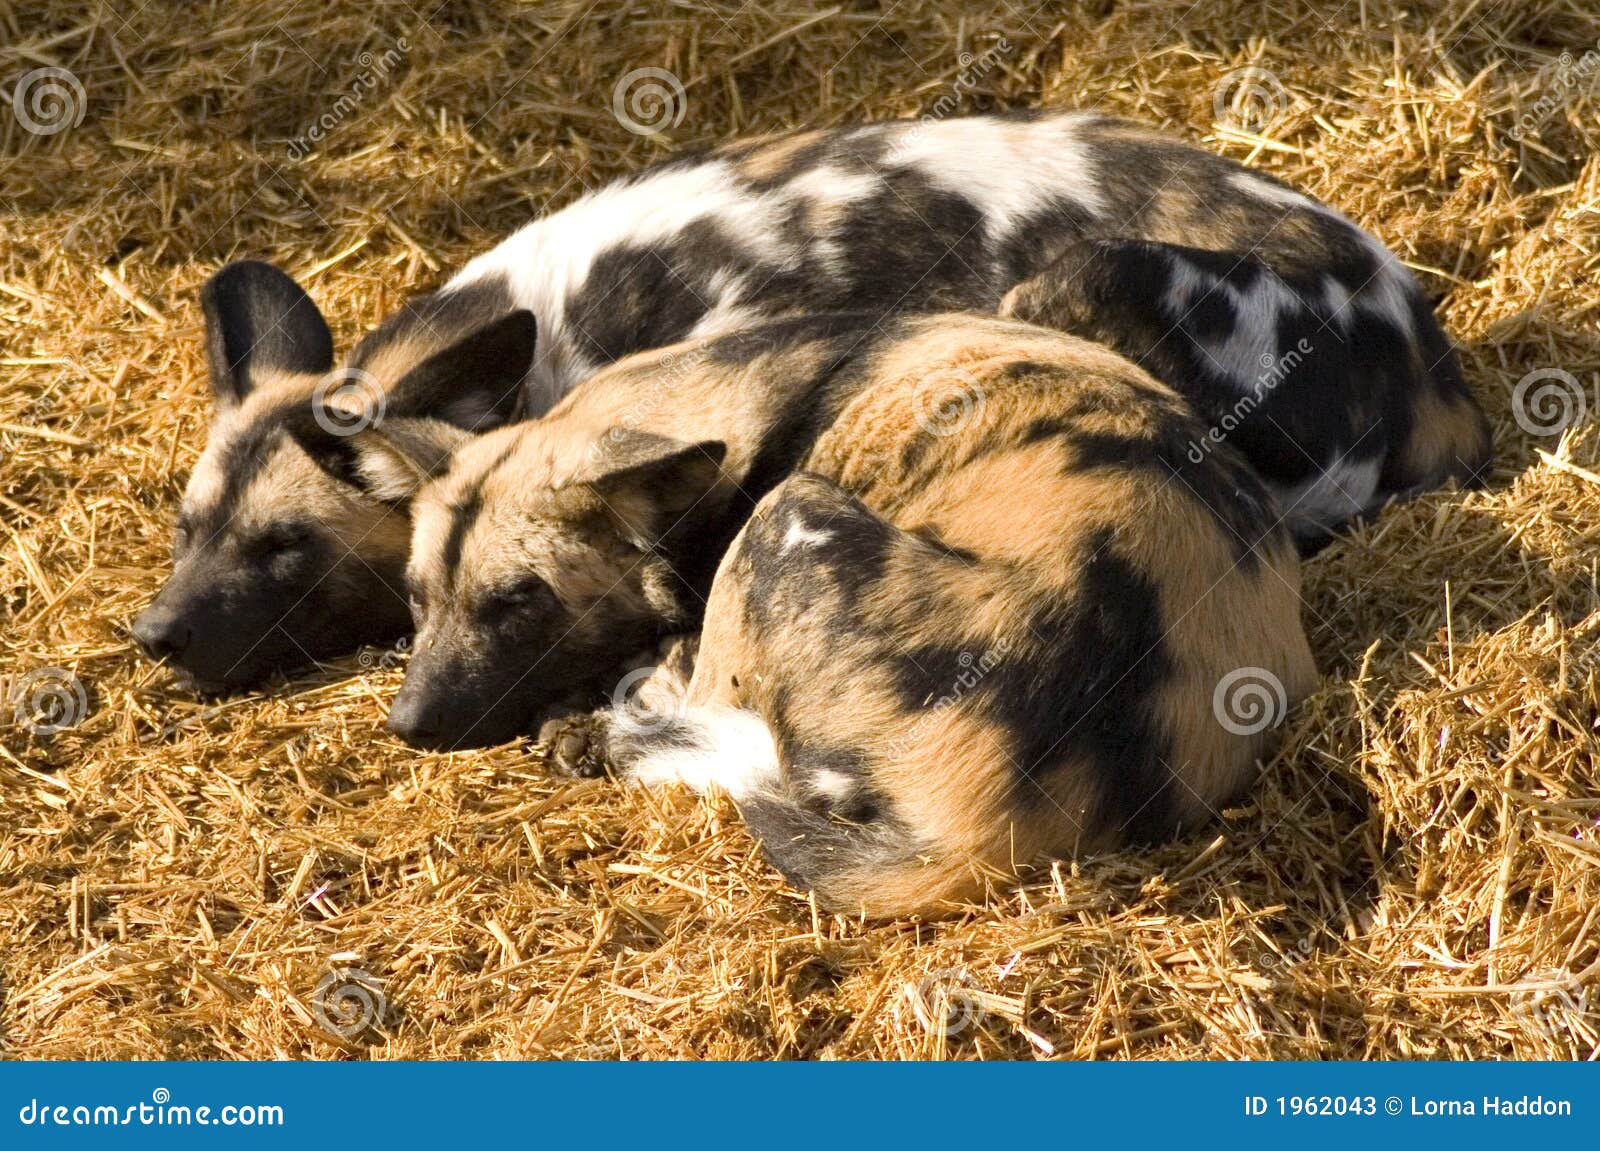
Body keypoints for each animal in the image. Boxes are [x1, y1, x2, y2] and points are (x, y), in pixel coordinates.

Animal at [134, 112, 1484, 694]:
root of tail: (1424, 351)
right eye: (189, 529)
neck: (549, 350)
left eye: (288, 548)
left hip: (1071, 283)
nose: (152, 636)